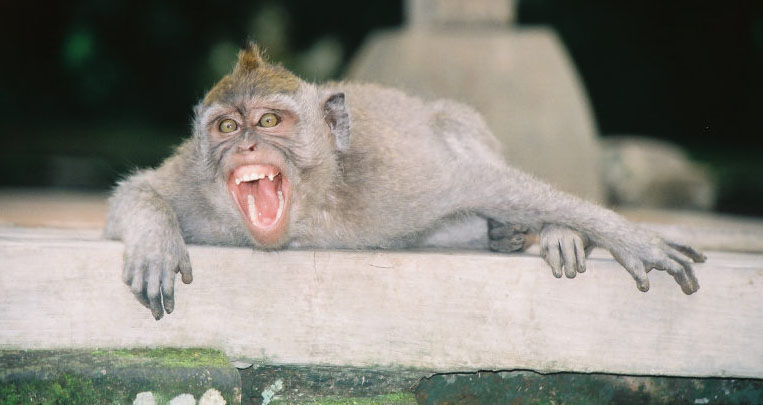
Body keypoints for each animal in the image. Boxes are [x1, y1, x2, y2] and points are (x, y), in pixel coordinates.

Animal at [105, 43, 706, 320]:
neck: (310, 212)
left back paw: (542, 233)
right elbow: (133, 196)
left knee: (459, 131)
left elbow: (482, 183)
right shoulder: (195, 187)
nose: (246, 146)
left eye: (269, 121)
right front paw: (155, 243)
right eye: (227, 127)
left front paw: (625, 236)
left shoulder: (394, 184)